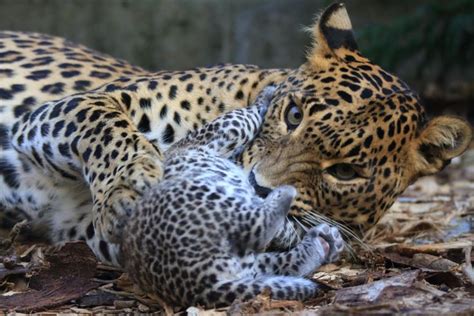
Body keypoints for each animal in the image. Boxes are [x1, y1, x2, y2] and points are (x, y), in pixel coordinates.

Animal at [0, 3, 470, 264]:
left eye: (346, 173)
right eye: (294, 115)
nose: (259, 187)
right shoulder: (66, 110)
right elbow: (105, 123)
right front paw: (127, 186)